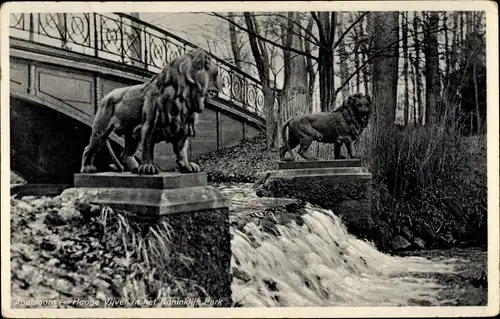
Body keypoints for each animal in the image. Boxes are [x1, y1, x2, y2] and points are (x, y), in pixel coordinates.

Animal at [80, 48, 221, 176]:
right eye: (215, 73)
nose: (222, 82)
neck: (182, 95)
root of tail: (106, 96)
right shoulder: (150, 125)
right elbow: (148, 147)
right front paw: (148, 167)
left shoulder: (183, 126)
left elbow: (181, 150)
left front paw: (187, 167)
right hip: (101, 129)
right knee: (89, 148)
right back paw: (88, 169)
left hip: (132, 134)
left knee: (125, 155)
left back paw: (135, 168)